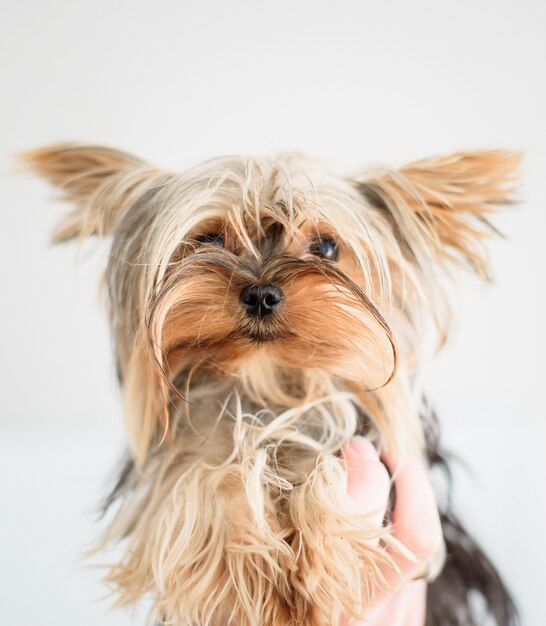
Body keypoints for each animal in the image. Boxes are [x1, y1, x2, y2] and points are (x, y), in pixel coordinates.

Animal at [24, 144, 520, 620]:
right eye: (209, 239)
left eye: (325, 247)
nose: (261, 294)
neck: (266, 381)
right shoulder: (183, 457)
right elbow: (213, 474)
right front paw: (250, 562)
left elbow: (324, 461)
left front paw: (316, 568)